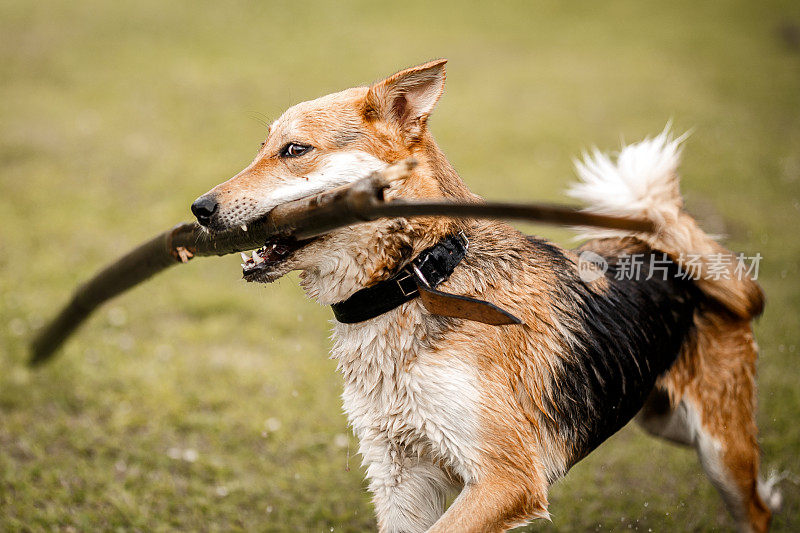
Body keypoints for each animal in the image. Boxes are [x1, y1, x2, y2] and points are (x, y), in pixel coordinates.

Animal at [191, 60, 780, 528]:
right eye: (261, 149)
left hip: (719, 450)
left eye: (295, 151)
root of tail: (663, 250)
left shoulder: (508, 478)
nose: (199, 209)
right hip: (664, 420)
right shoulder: (398, 474)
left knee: (754, 505)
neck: (419, 279)